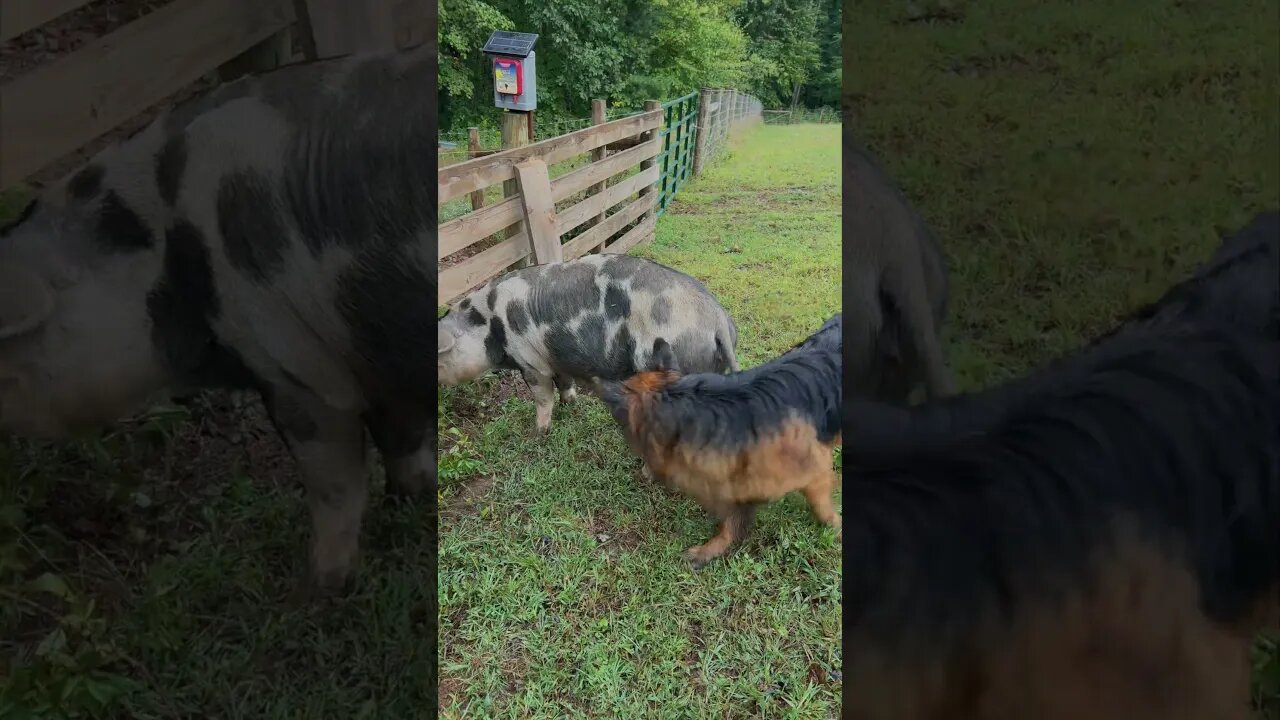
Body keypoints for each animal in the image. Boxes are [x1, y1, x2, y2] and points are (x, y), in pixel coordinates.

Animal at [0, 46, 435, 594]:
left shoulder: (295, 365)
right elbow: (405, 440)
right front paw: (412, 504)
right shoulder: (372, 356)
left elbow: (333, 481)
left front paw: (321, 584)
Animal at [437, 252, 742, 430]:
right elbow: (564, 382)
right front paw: (570, 404)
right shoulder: (556, 357)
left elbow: (542, 397)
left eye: (440, 360)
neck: (489, 324)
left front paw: (539, 432)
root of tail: (716, 318)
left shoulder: (531, 361)